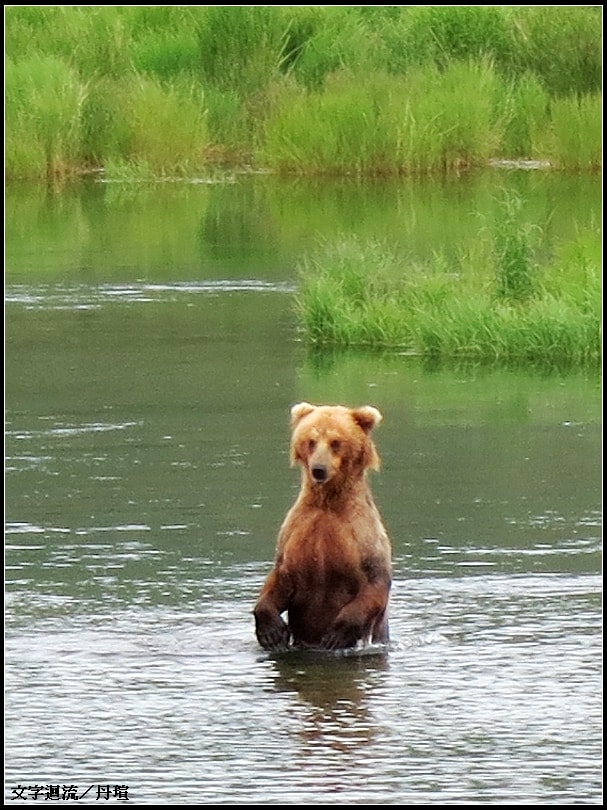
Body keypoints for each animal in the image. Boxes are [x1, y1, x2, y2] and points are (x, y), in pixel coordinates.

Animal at [254, 402, 392, 651]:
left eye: (336, 442)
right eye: (311, 440)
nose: (318, 469)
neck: (327, 501)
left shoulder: (362, 538)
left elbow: (374, 584)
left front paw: (336, 635)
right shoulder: (296, 532)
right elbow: (279, 579)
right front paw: (273, 633)